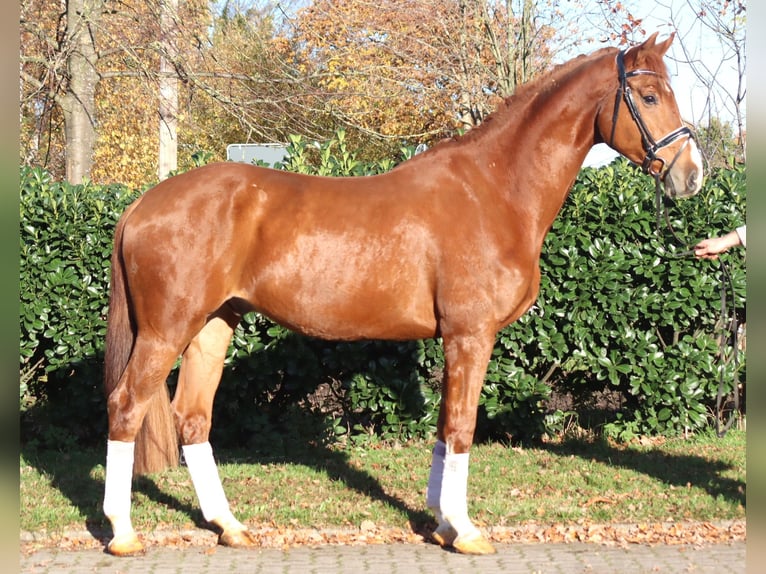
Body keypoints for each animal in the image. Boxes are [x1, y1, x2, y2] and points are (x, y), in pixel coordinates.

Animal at [102, 32, 702, 556]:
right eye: (650, 96)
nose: (691, 175)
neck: (493, 190)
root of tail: (142, 204)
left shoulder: (456, 340)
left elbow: (443, 428)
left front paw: (441, 525)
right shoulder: (470, 335)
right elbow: (461, 427)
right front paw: (465, 531)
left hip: (213, 325)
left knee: (192, 418)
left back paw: (229, 526)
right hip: (166, 331)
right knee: (126, 406)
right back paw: (123, 534)